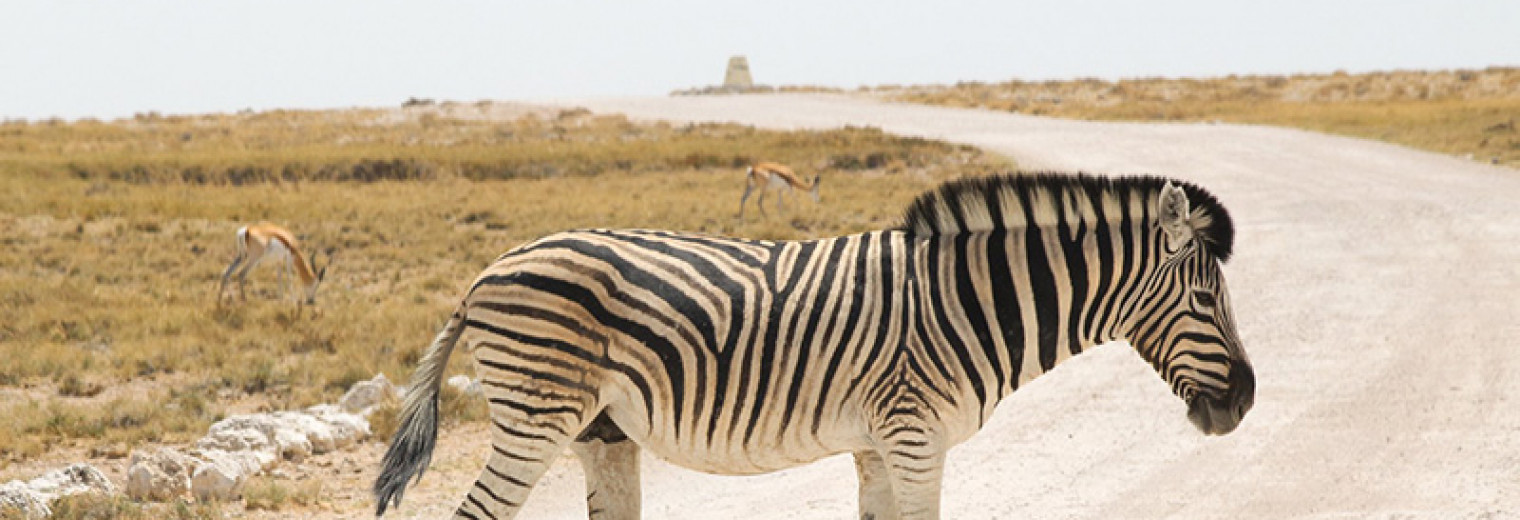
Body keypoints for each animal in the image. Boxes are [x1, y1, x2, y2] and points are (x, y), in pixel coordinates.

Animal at [373, 172, 1252, 516]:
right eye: (1206, 299)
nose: (1243, 402)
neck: (968, 302)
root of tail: (484, 274)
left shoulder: (878, 444)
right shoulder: (914, 437)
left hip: (600, 432)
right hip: (536, 418)